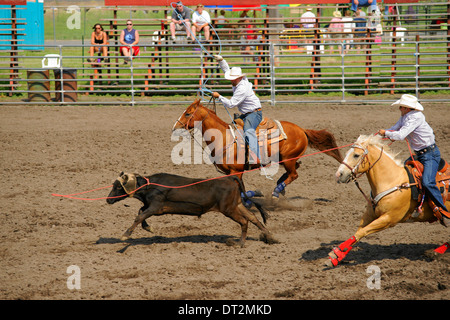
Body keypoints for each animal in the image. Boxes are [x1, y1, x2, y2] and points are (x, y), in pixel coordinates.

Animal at [171, 99, 342, 198]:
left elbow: (241, 192)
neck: (224, 138)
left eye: (188, 114)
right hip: (285, 159)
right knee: (294, 170)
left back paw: (277, 190)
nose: (175, 127)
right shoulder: (233, 173)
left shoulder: (236, 171)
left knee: (294, 174)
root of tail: (302, 130)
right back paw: (280, 185)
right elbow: (242, 190)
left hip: (288, 159)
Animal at [328, 135, 448, 268]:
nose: (338, 174)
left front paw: (337, 252)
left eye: (356, 155)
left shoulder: (389, 219)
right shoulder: (370, 215)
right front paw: (337, 257)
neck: (392, 181)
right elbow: (358, 233)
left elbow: (362, 232)